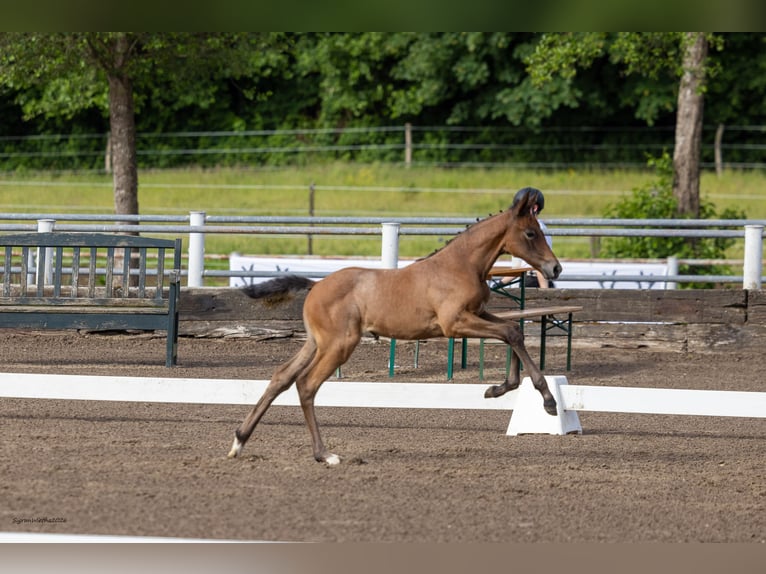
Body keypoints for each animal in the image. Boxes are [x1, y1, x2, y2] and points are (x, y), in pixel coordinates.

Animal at [228, 187, 562, 465]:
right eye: (531, 233)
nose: (555, 268)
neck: (460, 265)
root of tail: (315, 286)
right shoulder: (454, 323)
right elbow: (510, 333)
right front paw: (547, 401)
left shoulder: (476, 314)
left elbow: (514, 331)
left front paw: (497, 389)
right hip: (339, 344)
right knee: (307, 384)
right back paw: (324, 454)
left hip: (315, 343)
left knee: (281, 377)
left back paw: (239, 442)